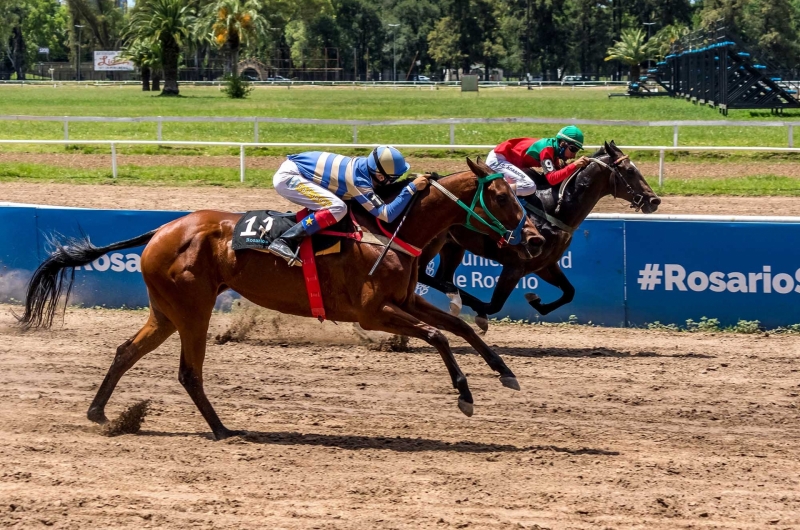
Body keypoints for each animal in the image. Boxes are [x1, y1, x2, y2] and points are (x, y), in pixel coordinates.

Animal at [18, 156, 548, 438]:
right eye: (502, 196)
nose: (536, 239)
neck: (392, 230)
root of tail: (162, 229)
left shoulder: (404, 301)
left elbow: (457, 327)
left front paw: (505, 372)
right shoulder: (373, 313)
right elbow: (438, 336)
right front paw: (465, 395)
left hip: (166, 311)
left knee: (126, 351)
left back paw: (101, 413)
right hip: (192, 309)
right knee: (188, 372)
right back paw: (222, 429)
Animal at [418, 140, 664, 330]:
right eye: (630, 171)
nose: (654, 200)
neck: (553, 209)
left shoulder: (544, 264)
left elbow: (569, 292)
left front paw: (536, 300)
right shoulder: (515, 265)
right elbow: (493, 305)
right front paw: (479, 313)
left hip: (453, 247)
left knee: (441, 278)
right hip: (430, 245)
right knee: (426, 275)